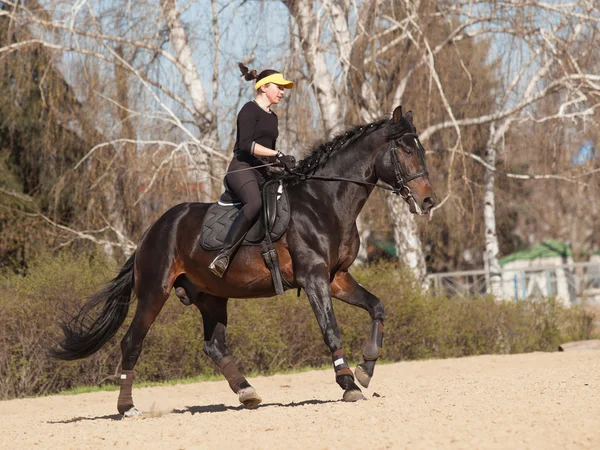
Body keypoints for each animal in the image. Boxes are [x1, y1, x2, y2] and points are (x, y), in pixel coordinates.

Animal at [51, 105, 436, 414]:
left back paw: (247, 392)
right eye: (405, 150)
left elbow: (377, 307)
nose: (429, 201)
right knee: (132, 342)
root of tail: (150, 232)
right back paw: (127, 407)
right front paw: (348, 383)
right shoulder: (314, 278)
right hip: (153, 293)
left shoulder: (337, 277)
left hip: (210, 296)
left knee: (214, 346)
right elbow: (330, 328)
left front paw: (365, 369)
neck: (324, 200)